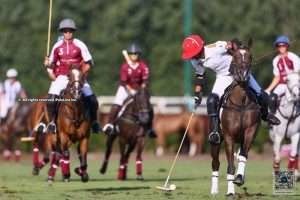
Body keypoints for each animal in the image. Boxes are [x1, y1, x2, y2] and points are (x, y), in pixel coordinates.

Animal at [211, 39, 260, 196]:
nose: (244, 76)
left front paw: (239, 178)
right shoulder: (229, 136)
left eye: (250, 56)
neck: (241, 102)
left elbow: (243, 155)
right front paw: (230, 192)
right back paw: (214, 190)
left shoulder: (250, 131)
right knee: (215, 163)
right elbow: (230, 165)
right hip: (215, 141)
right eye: (236, 57)